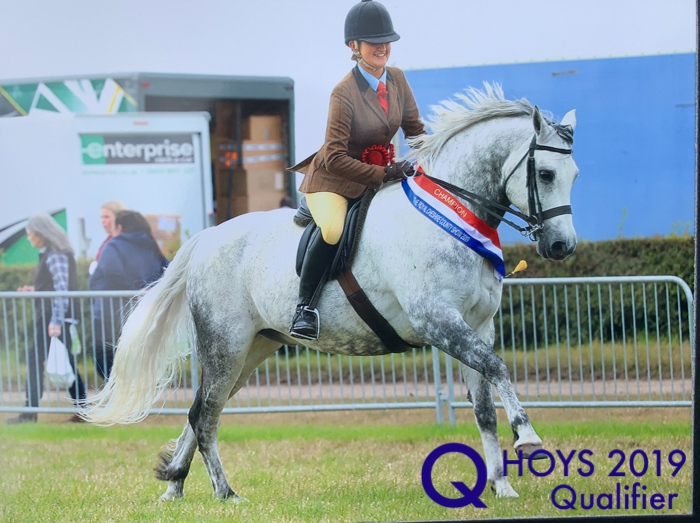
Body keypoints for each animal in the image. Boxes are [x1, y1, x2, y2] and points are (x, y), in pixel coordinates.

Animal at [83, 83, 579, 502]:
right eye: (546, 173)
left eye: (574, 174)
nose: (562, 246)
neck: (453, 214)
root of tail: (206, 238)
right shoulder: (439, 323)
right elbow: (497, 368)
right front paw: (527, 435)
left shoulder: (479, 325)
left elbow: (484, 407)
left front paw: (502, 487)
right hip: (225, 346)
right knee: (205, 416)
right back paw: (226, 494)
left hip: (251, 350)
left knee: (201, 408)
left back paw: (174, 488)